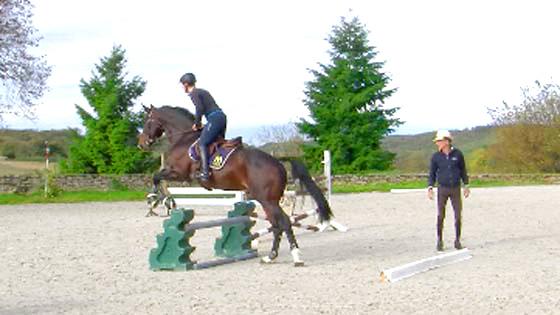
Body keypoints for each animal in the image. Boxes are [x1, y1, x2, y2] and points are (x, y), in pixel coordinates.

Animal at [138, 104, 332, 266]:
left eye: (147, 122)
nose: (141, 144)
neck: (183, 138)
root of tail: (277, 161)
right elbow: (158, 177)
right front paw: (159, 200)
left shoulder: (179, 173)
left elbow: (156, 177)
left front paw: (156, 197)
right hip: (267, 201)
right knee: (277, 225)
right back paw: (270, 257)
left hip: (268, 200)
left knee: (284, 223)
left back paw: (296, 256)